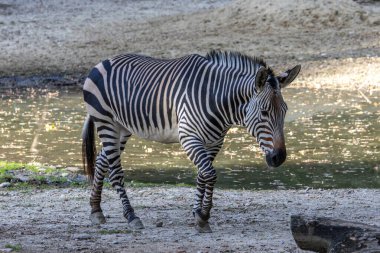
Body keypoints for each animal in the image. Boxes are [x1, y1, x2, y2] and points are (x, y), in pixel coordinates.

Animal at [81, 50, 302, 233]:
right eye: (264, 113)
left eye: (285, 111)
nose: (279, 158)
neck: (217, 100)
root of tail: (103, 61)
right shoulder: (189, 137)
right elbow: (210, 174)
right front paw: (203, 217)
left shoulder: (214, 141)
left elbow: (202, 175)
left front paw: (198, 213)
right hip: (106, 122)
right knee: (116, 171)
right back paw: (131, 216)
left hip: (122, 128)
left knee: (102, 161)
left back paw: (96, 210)